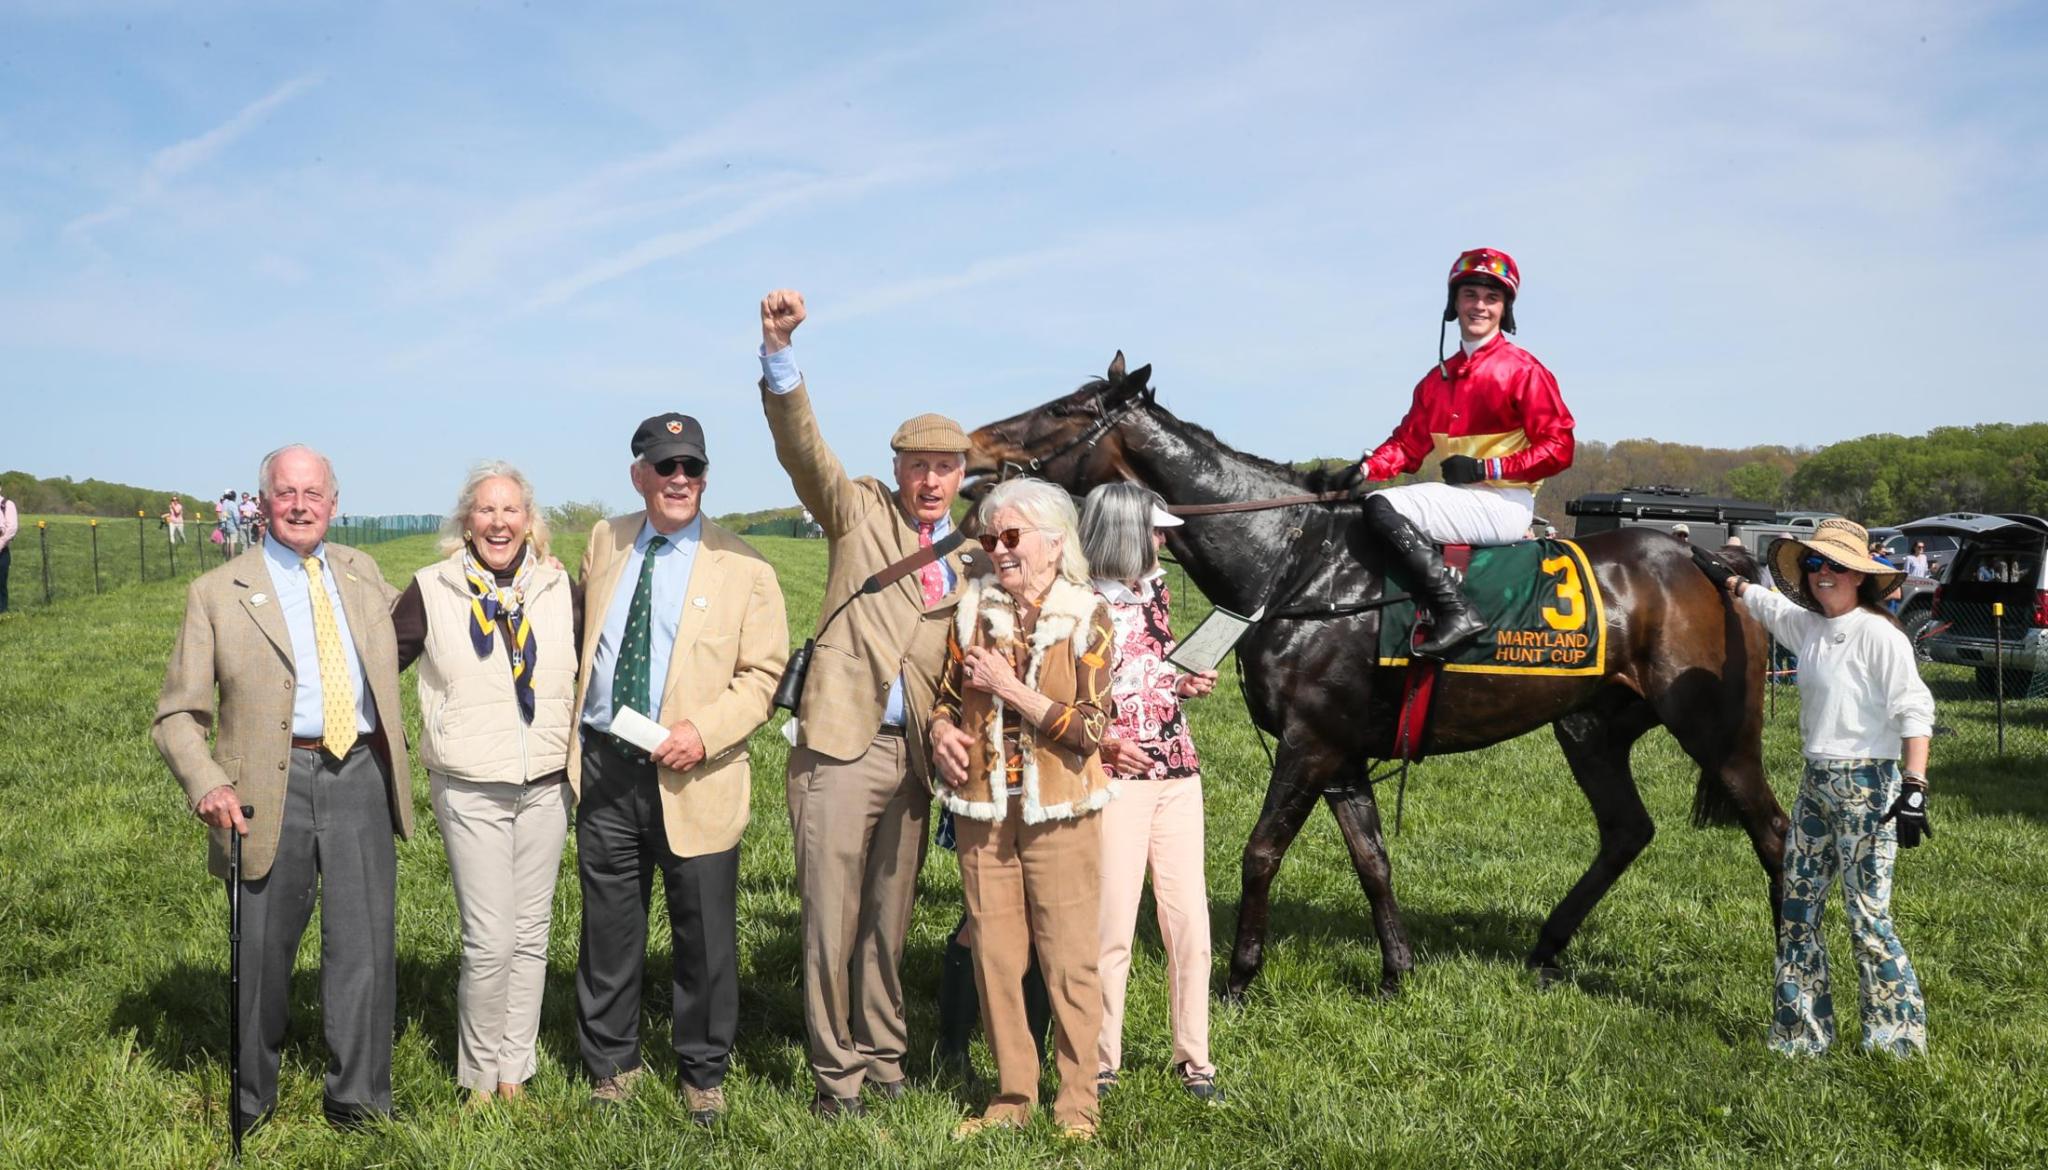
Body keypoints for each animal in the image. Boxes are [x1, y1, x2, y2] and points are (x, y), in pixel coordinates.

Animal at [966, 356, 1785, 999]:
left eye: (1063, 409)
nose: (973, 446)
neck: (1295, 563)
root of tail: (1712, 560)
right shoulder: (1345, 755)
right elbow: (1373, 861)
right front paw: (1397, 972)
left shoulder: (1311, 744)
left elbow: (1260, 852)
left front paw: (1239, 976)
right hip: (1589, 727)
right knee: (1626, 830)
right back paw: (1548, 948)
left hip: (1716, 730)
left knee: (1775, 833)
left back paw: (1792, 994)